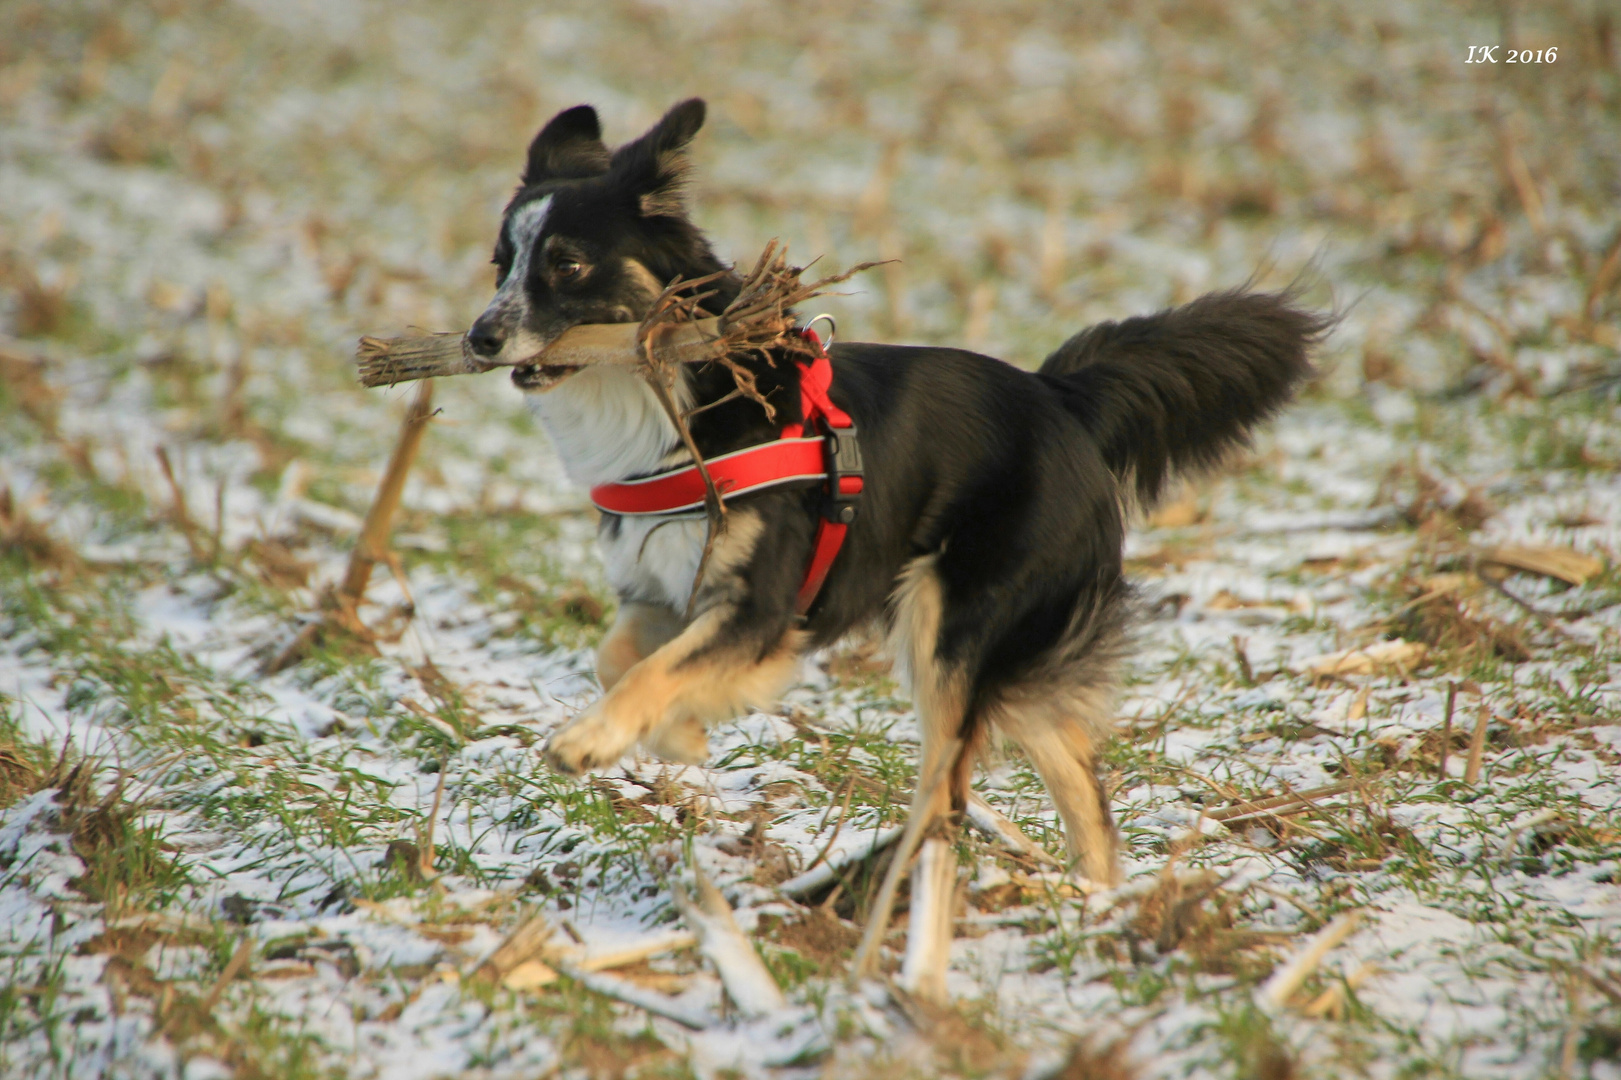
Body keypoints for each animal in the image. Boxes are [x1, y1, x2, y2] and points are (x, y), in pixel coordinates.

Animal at [470, 100, 1329, 985]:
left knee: (947, 793)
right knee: (1075, 780)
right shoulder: (659, 591)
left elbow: (652, 671)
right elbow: (621, 660)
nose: (477, 338)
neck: (674, 398)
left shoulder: (760, 606)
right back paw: (1092, 910)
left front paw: (592, 740)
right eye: (500, 264)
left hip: (950, 624)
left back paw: (897, 905)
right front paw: (680, 734)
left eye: (566, 265)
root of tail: (1062, 397)